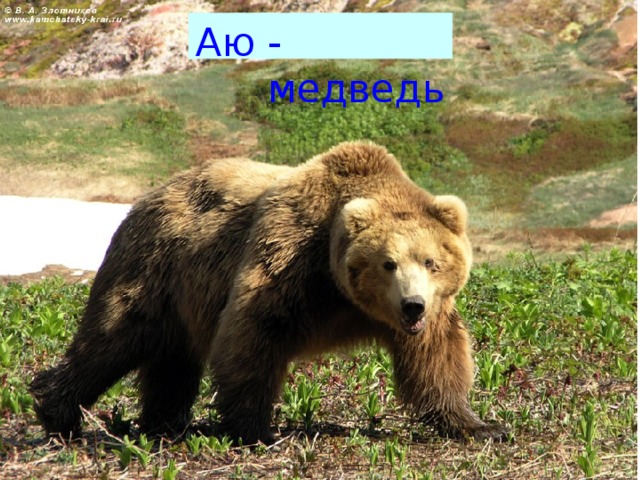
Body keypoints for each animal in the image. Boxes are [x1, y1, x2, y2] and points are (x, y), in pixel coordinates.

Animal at [31, 141, 508, 444]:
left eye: (431, 261)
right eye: (387, 263)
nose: (412, 305)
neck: (341, 292)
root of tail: (146, 197)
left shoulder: (426, 313)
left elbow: (437, 359)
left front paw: (480, 425)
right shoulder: (289, 260)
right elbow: (252, 334)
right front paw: (255, 430)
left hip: (183, 295)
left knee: (172, 359)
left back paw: (163, 422)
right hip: (154, 268)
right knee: (113, 337)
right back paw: (57, 409)